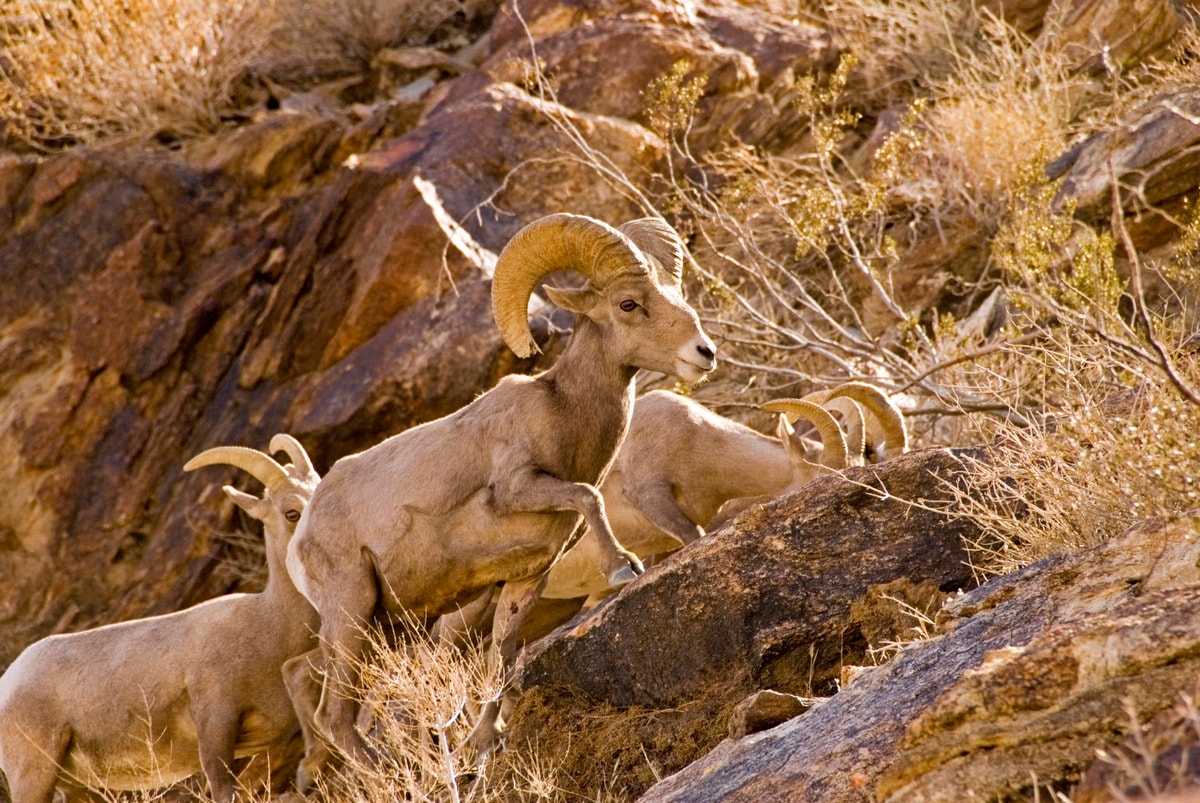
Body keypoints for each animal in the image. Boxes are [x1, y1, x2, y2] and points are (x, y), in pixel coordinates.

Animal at [0, 434, 321, 801]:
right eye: (291, 512)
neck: (269, 626)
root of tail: (8, 683)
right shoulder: (216, 726)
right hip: (34, 774)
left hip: (76, 785)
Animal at [280, 211, 710, 777]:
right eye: (628, 304)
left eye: (676, 292)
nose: (704, 353)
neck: (563, 415)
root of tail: (300, 537)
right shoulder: (518, 489)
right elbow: (586, 496)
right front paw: (623, 568)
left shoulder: (524, 579)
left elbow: (500, 659)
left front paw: (483, 745)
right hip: (350, 616)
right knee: (335, 717)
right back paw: (402, 776)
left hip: (389, 628)